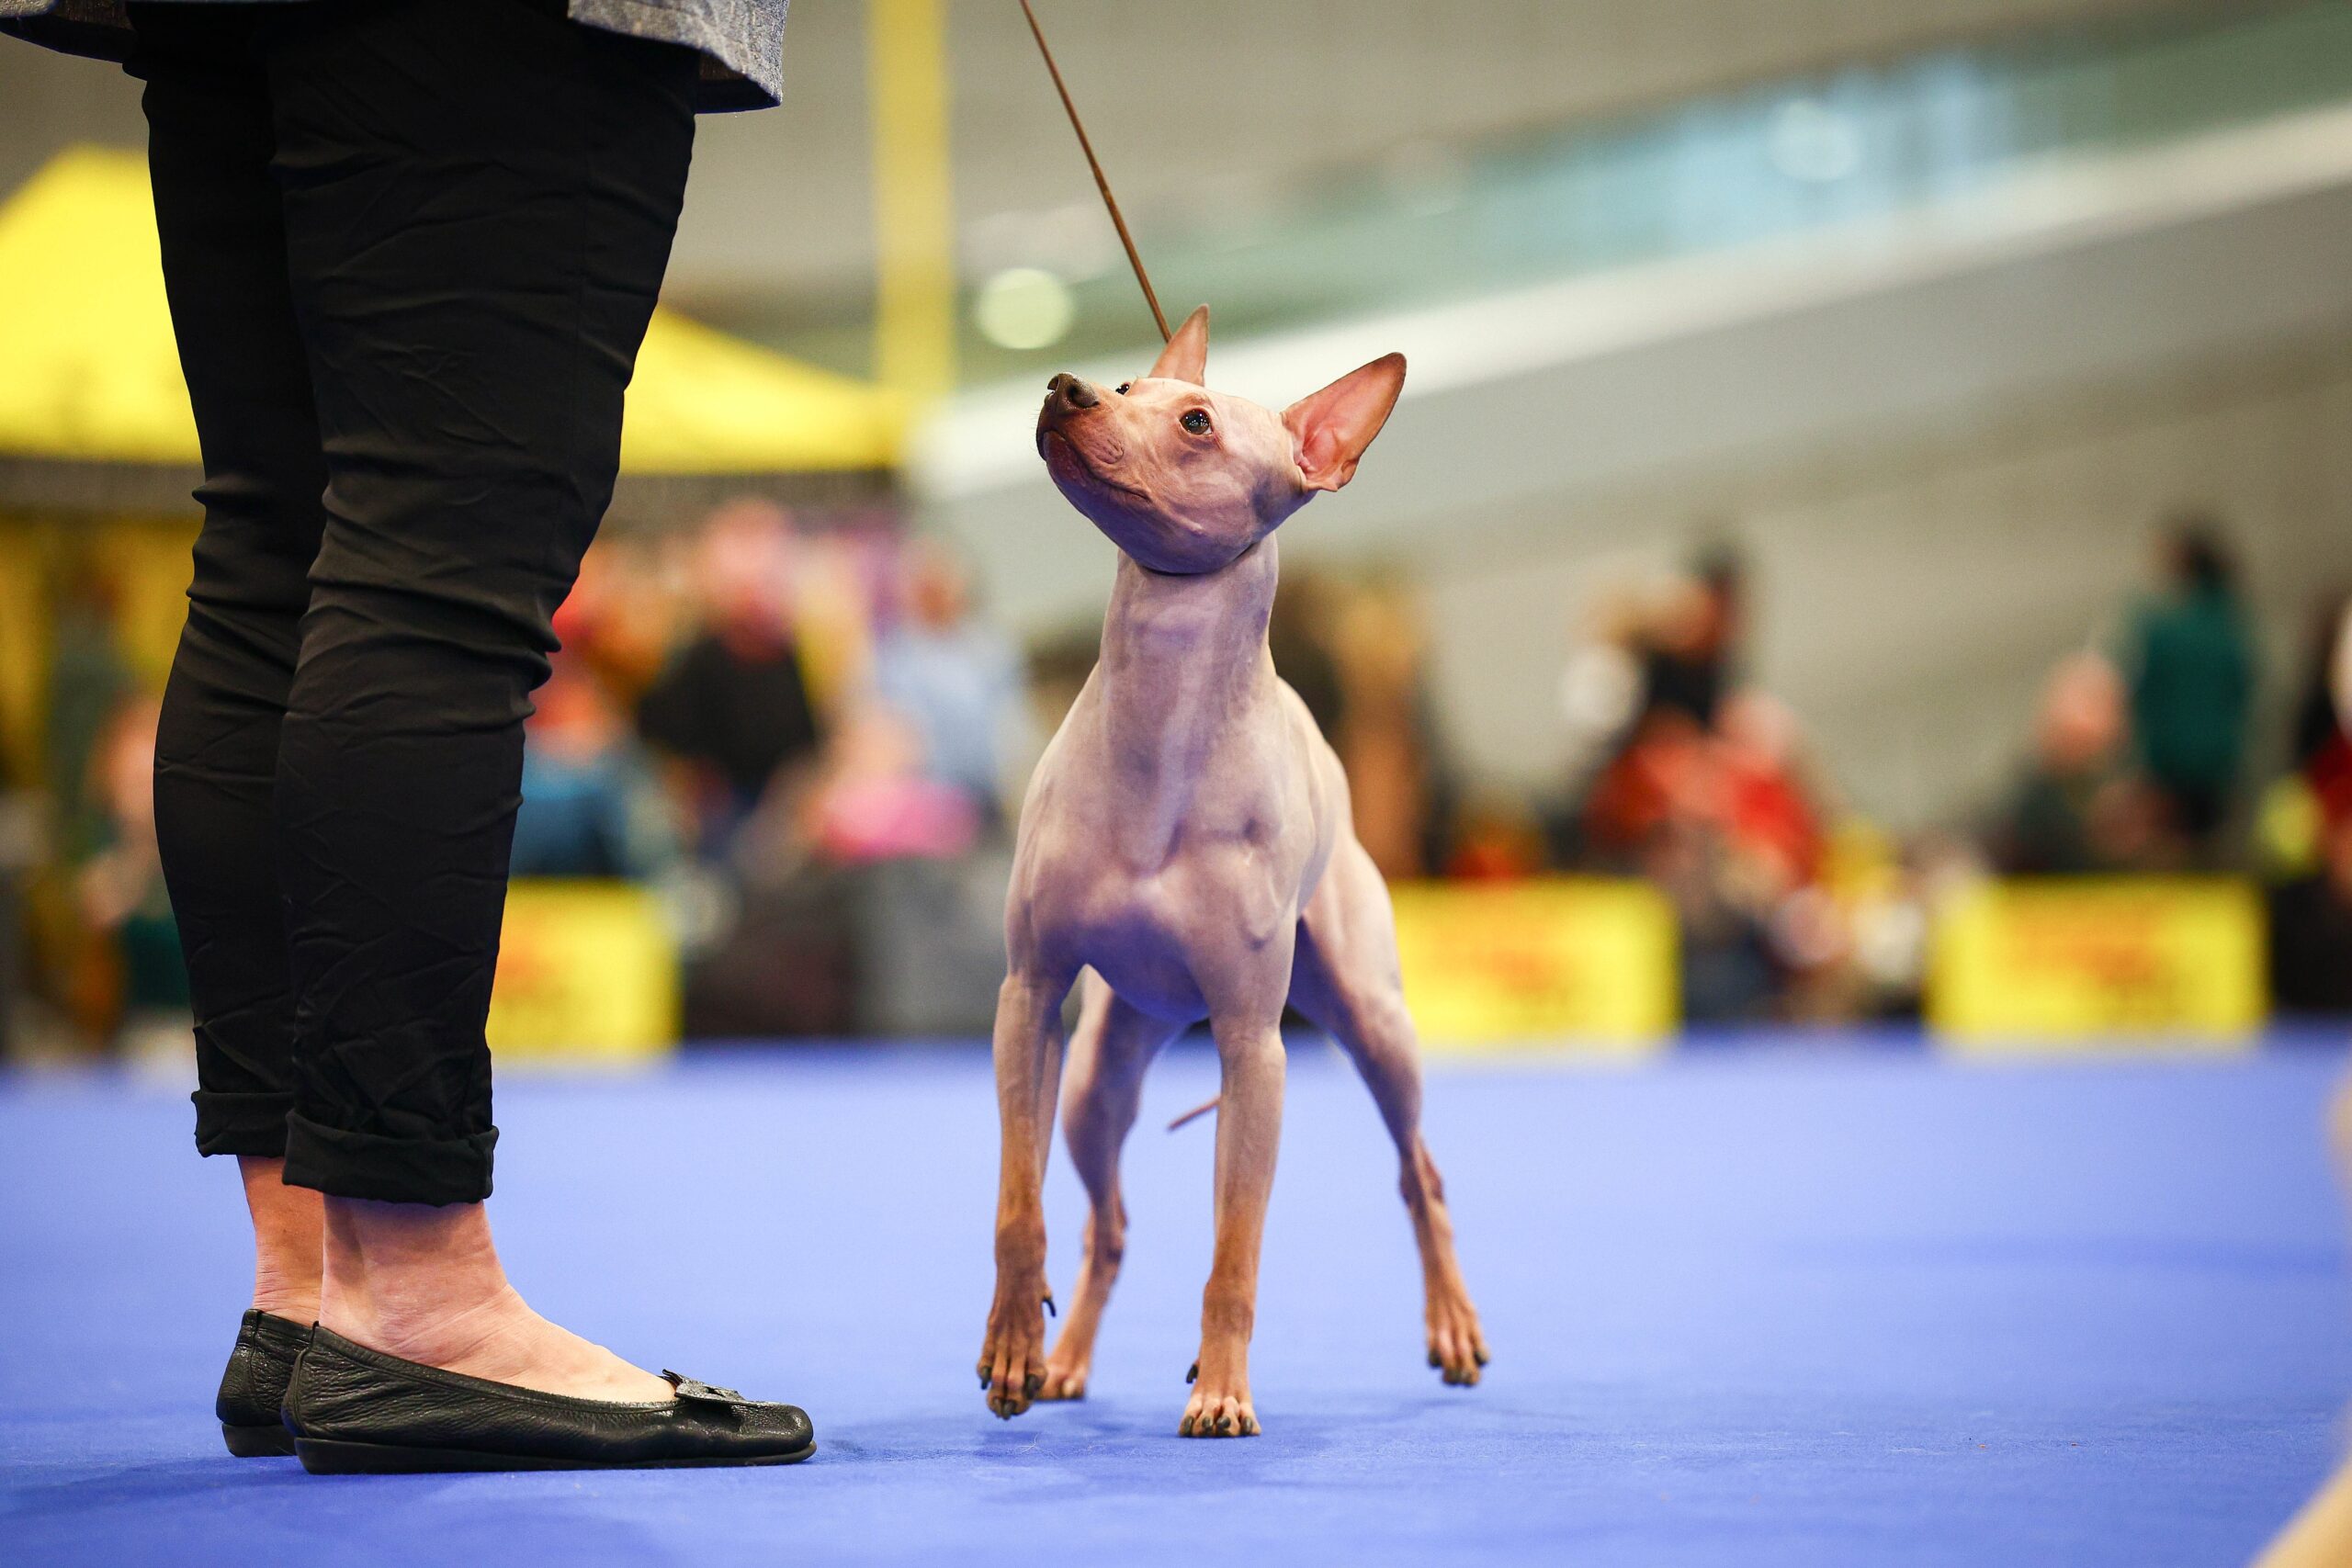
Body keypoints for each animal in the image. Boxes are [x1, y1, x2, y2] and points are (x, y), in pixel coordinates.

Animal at [973, 303, 1486, 1438]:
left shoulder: (1256, 1049)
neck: (1161, 723)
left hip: (1368, 1028)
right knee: (1107, 1222)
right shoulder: (1028, 996)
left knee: (1418, 1173)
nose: (1067, 388)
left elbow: (1235, 1253)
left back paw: (1450, 1327)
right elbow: (1019, 1208)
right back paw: (1066, 1359)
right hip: (1100, 1069)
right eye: (1128, 385)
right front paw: (1014, 1348)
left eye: (1197, 423)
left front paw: (1221, 1390)